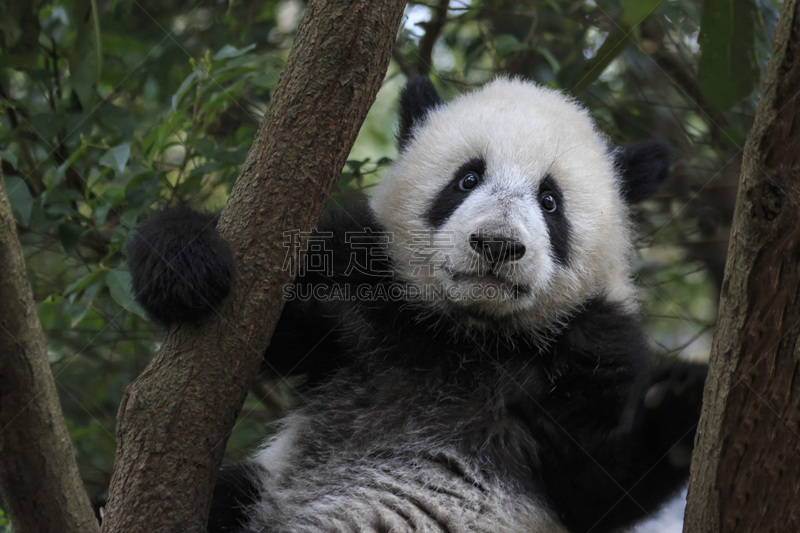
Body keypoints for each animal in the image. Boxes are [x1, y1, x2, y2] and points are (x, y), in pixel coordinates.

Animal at [126, 78, 708, 532]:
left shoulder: (592, 350)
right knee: (233, 494)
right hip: (265, 493)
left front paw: (675, 402)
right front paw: (186, 262)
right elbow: (272, 326)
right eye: (467, 178)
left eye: (550, 201)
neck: (471, 335)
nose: (497, 245)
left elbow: (594, 480)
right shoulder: (361, 300)